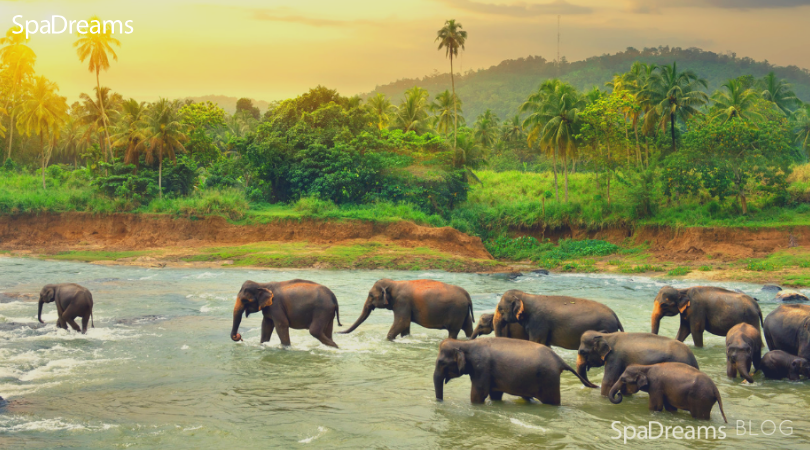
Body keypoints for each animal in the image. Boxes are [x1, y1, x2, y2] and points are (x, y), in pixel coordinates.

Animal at [340, 280, 474, 340]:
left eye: (371, 295)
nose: (338, 331)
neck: (393, 284)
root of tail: (467, 295)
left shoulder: (402, 302)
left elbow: (402, 323)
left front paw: (388, 339)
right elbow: (405, 326)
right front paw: (405, 338)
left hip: (457, 311)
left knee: (453, 331)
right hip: (464, 312)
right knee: (468, 328)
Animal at [432, 338, 596, 404]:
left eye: (441, 362)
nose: (440, 402)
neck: (465, 343)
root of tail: (560, 360)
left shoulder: (482, 367)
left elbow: (479, 394)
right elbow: (495, 394)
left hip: (549, 379)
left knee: (552, 402)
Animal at [492, 290, 624, 350]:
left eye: (500, 309)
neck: (525, 295)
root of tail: (615, 315)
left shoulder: (538, 323)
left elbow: (535, 341)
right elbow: (545, 344)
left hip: (607, 328)